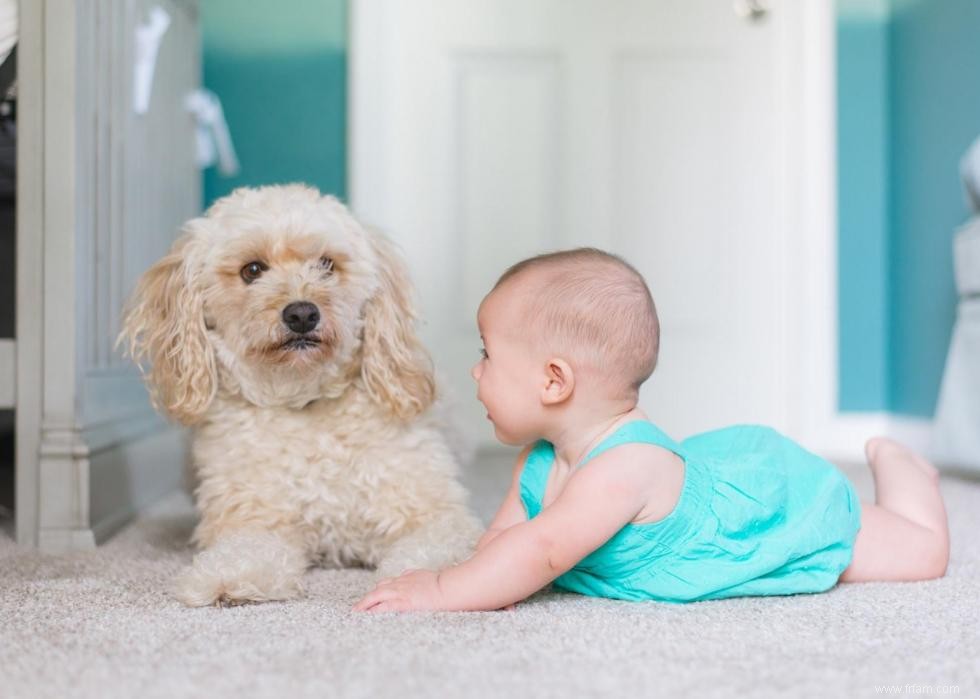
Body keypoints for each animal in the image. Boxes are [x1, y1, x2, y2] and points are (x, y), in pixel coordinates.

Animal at [120, 186, 484, 608]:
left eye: (327, 264)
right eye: (252, 270)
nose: (302, 314)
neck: (305, 402)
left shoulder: (435, 514)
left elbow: (436, 548)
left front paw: (421, 581)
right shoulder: (254, 519)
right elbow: (245, 551)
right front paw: (229, 578)